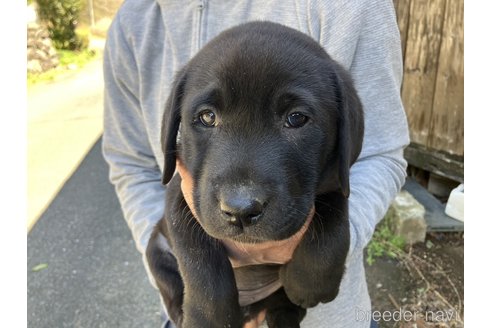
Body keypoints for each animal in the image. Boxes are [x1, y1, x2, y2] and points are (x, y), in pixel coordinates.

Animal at [144, 21, 364, 326]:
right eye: (207, 117)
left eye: (296, 118)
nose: (241, 210)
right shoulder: (182, 194)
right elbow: (199, 260)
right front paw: (210, 318)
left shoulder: (334, 180)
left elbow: (334, 218)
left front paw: (310, 281)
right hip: (155, 247)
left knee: (283, 309)